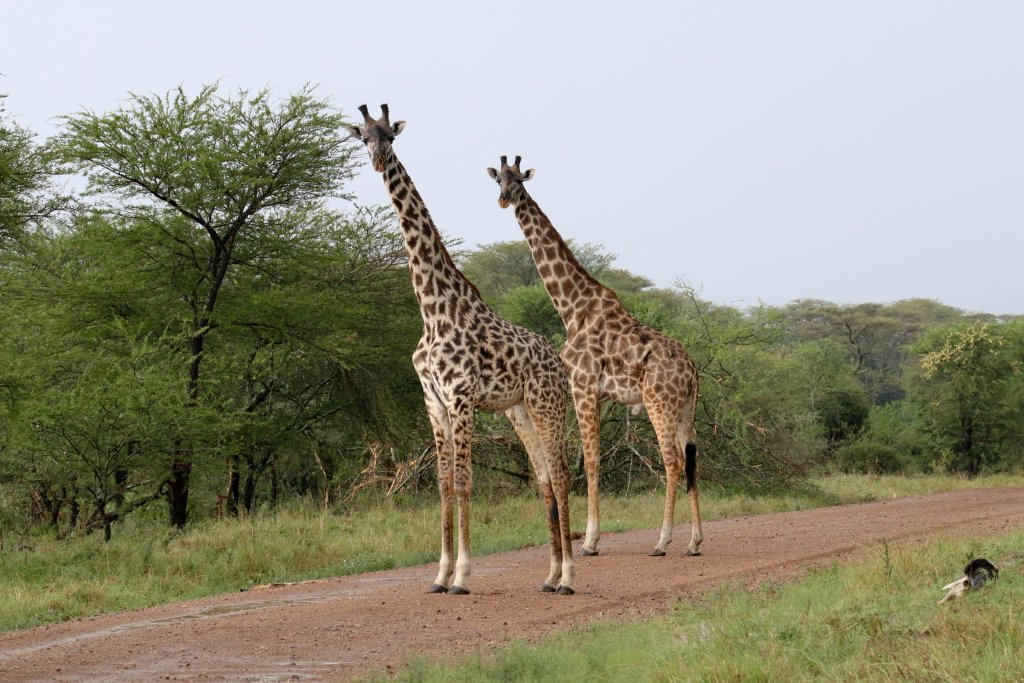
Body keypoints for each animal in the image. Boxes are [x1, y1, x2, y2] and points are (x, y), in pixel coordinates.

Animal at [346, 107, 575, 595]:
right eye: (364, 138)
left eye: (390, 136)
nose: (378, 161)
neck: (432, 309)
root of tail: (556, 358)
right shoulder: (433, 400)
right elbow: (443, 485)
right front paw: (439, 574)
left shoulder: (461, 396)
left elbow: (466, 482)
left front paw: (463, 576)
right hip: (520, 410)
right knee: (546, 477)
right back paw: (549, 576)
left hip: (547, 404)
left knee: (563, 473)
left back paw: (568, 576)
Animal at [488, 155, 704, 558]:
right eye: (498, 180)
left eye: (520, 180)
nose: (505, 200)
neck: (573, 308)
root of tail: (693, 372)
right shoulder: (599, 396)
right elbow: (594, 459)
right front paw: (591, 537)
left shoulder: (583, 387)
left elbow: (589, 460)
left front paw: (589, 541)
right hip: (686, 408)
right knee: (691, 460)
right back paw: (695, 542)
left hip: (659, 403)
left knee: (672, 461)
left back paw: (662, 541)